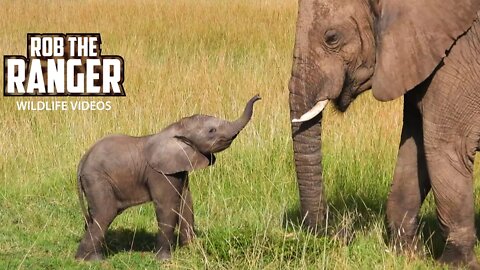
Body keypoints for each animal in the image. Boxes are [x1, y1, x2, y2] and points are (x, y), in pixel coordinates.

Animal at [75, 94, 260, 260]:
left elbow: (187, 203)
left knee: (95, 215)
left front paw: (192, 251)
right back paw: (89, 260)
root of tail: (82, 160)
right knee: (106, 212)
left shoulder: (180, 167)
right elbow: (168, 206)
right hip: (97, 178)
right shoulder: (159, 173)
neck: (175, 129)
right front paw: (165, 260)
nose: (258, 96)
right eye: (212, 131)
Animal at [288, 0, 480, 268]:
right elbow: (414, 148)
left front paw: (454, 263)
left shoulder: (458, 58)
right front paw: (407, 254)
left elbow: (446, 147)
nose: (341, 233)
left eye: (332, 38)